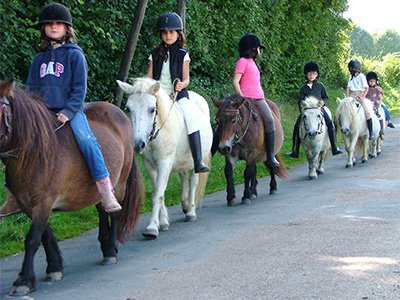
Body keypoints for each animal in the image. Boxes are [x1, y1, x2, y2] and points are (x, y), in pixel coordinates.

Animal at [0, 78, 144, 296]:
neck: (35, 151)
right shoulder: (28, 204)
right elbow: (45, 235)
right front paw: (54, 267)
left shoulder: (43, 202)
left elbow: (32, 239)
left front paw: (23, 281)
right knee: (102, 209)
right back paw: (105, 245)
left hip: (120, 181)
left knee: (115, 213)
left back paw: (111, 250)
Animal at [118, 78, 214, 239]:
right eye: (128, 108)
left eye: (152, 109)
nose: (138, 144)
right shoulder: (150, 165)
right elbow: (159, 191)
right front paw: (162, 222)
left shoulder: (164, 163)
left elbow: (158, 194)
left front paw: (151, 228)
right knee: (184, 178)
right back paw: (185, 205)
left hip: (196, 162)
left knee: (193, 181)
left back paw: (191, 212)